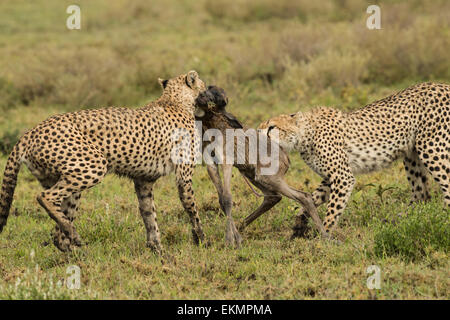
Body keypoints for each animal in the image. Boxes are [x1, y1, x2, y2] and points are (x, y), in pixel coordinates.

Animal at [0, 70, 207, 255]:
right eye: (204, 86)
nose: (208, 92)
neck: (175, 99)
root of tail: (30, 132)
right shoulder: (183, 175)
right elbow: (191, 206)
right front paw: (202, 239)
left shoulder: (143, 181)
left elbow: (149, 215)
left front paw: (158, 250)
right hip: (92, 167)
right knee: (44, 197)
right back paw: (74, 238)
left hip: (65, 180)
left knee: (58, 232)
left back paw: (77, 249)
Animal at [258, 82, 450, 235]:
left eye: (272, 127)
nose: (258, 134)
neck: (305, 135)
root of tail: (441, 85)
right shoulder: (332, 177)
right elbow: (312, 198)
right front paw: (300, 222)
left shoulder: (343, 177)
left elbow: (332, 210)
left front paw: (324, 235)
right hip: (412, 156)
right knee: (421, 193)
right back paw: (405, 220)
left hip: (432, 149)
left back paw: (440, 220)